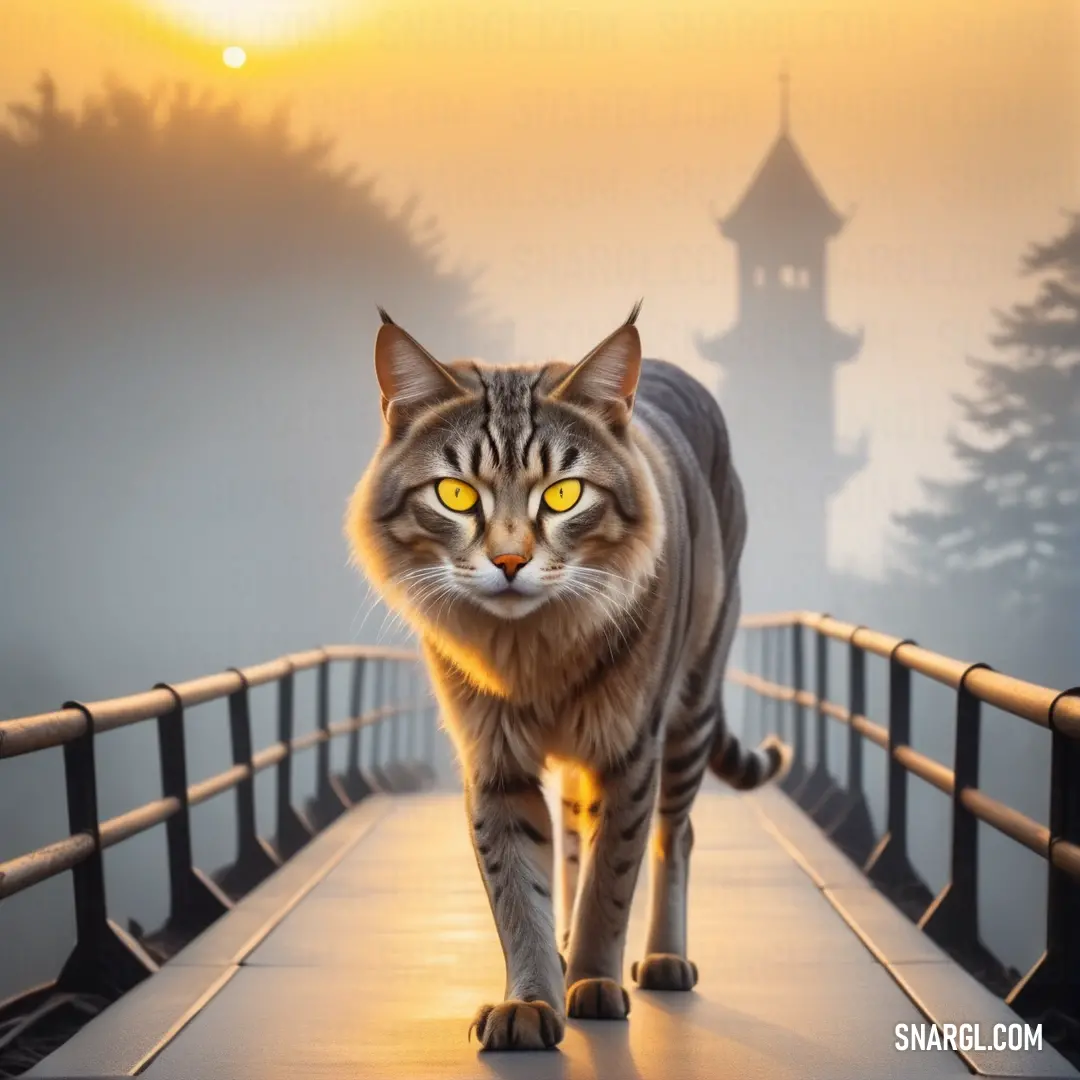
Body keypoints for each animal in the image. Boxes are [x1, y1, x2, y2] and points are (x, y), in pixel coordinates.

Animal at [345, 300, 794, 1049]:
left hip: (692, 705)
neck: (531, 646)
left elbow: (614, 877)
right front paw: (530, 998)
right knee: (579, 837)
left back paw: (664, 959)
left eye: (562, 495)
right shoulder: (493, 759)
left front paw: (594, 983)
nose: (509, 561)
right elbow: (518, 888)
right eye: (455, 493)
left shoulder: (630, 745)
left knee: (675, 835)